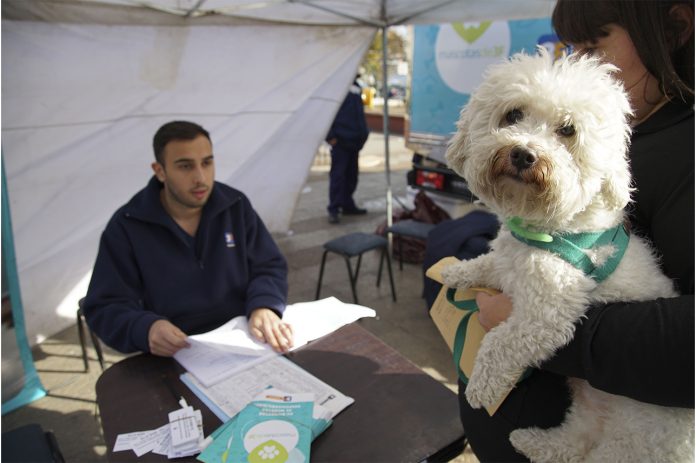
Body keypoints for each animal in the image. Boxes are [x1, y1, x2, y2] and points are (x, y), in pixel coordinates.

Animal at [444, 48, 692, 463]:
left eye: (567, 131)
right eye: (513, 115)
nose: (523, 154)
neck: (545, 229)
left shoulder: (545, 315)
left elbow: (500, 341)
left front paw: (481, 386)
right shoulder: (509, 261)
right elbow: (489, 262)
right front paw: (458, 272)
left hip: (632, 439)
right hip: (588, 409)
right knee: (572, 441)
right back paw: (530, 441)